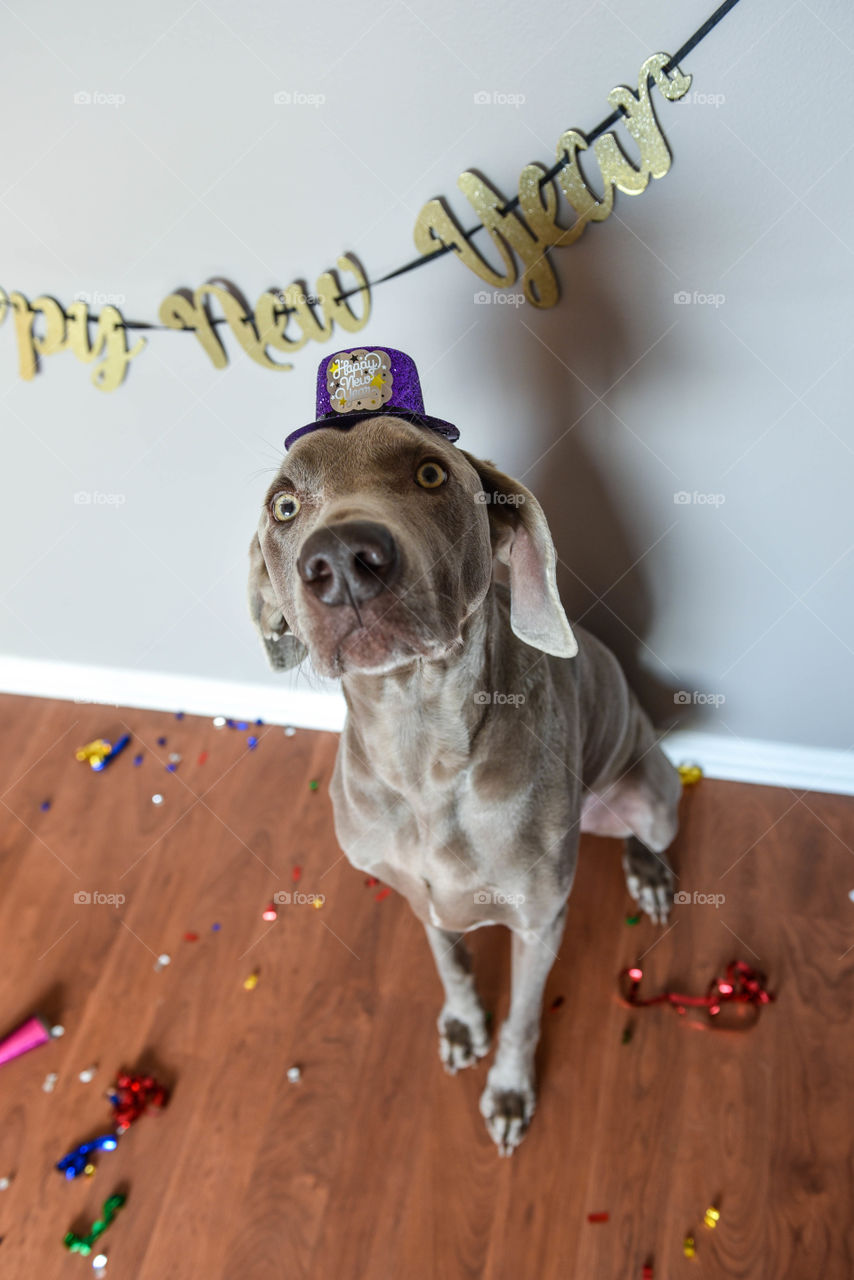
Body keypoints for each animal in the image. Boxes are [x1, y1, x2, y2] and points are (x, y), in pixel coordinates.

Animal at [248, 348, 681, 1152]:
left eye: (429, 473)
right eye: (285, 506)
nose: (342, 561)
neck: (421, 752)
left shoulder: (540, 919)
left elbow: (523, 1017)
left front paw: (509, 1092)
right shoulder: (417, 891)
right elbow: (449, 961)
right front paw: (461, 1023)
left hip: (650, 791)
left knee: (652, 828)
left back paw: (649, 873)